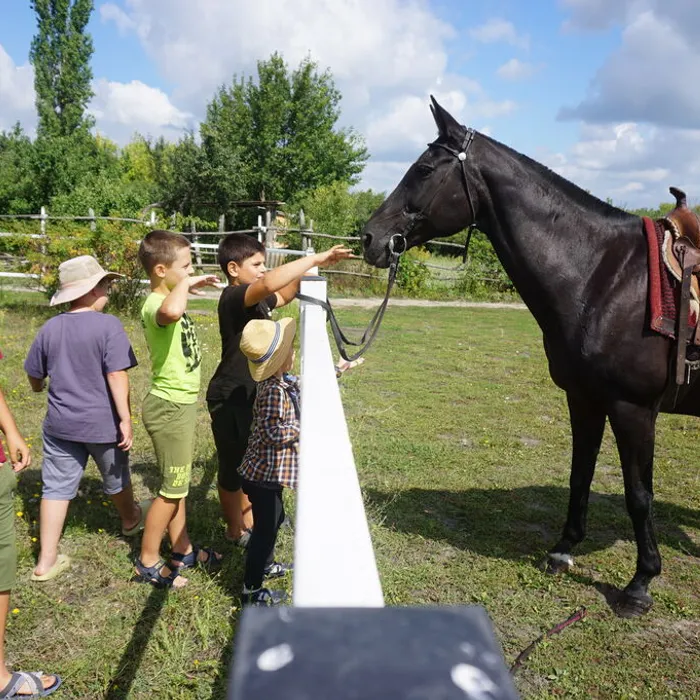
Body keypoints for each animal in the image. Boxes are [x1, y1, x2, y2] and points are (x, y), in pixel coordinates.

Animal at [361, 96, 700, 618]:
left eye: (423, 169)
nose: (370, 238)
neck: (605, 276)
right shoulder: (584, 399)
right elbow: (580, 474)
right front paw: (563, 550)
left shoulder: (634, 410)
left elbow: (639, 494)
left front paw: (640, 583)